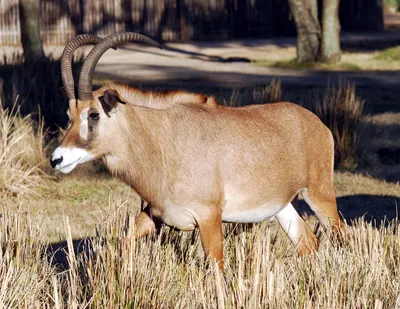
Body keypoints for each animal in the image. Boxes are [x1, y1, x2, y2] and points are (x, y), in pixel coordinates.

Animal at [50, 31, 344, 270]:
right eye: (69, 115)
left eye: (94, 114)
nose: (57, 159)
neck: (162, 140)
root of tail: (317, 123)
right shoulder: (156, 215)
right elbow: (120, 242)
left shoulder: (209, 217)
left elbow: (216, 270)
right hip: (282, 207)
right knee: (307, 242)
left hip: (319, 194)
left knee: (340, 238)